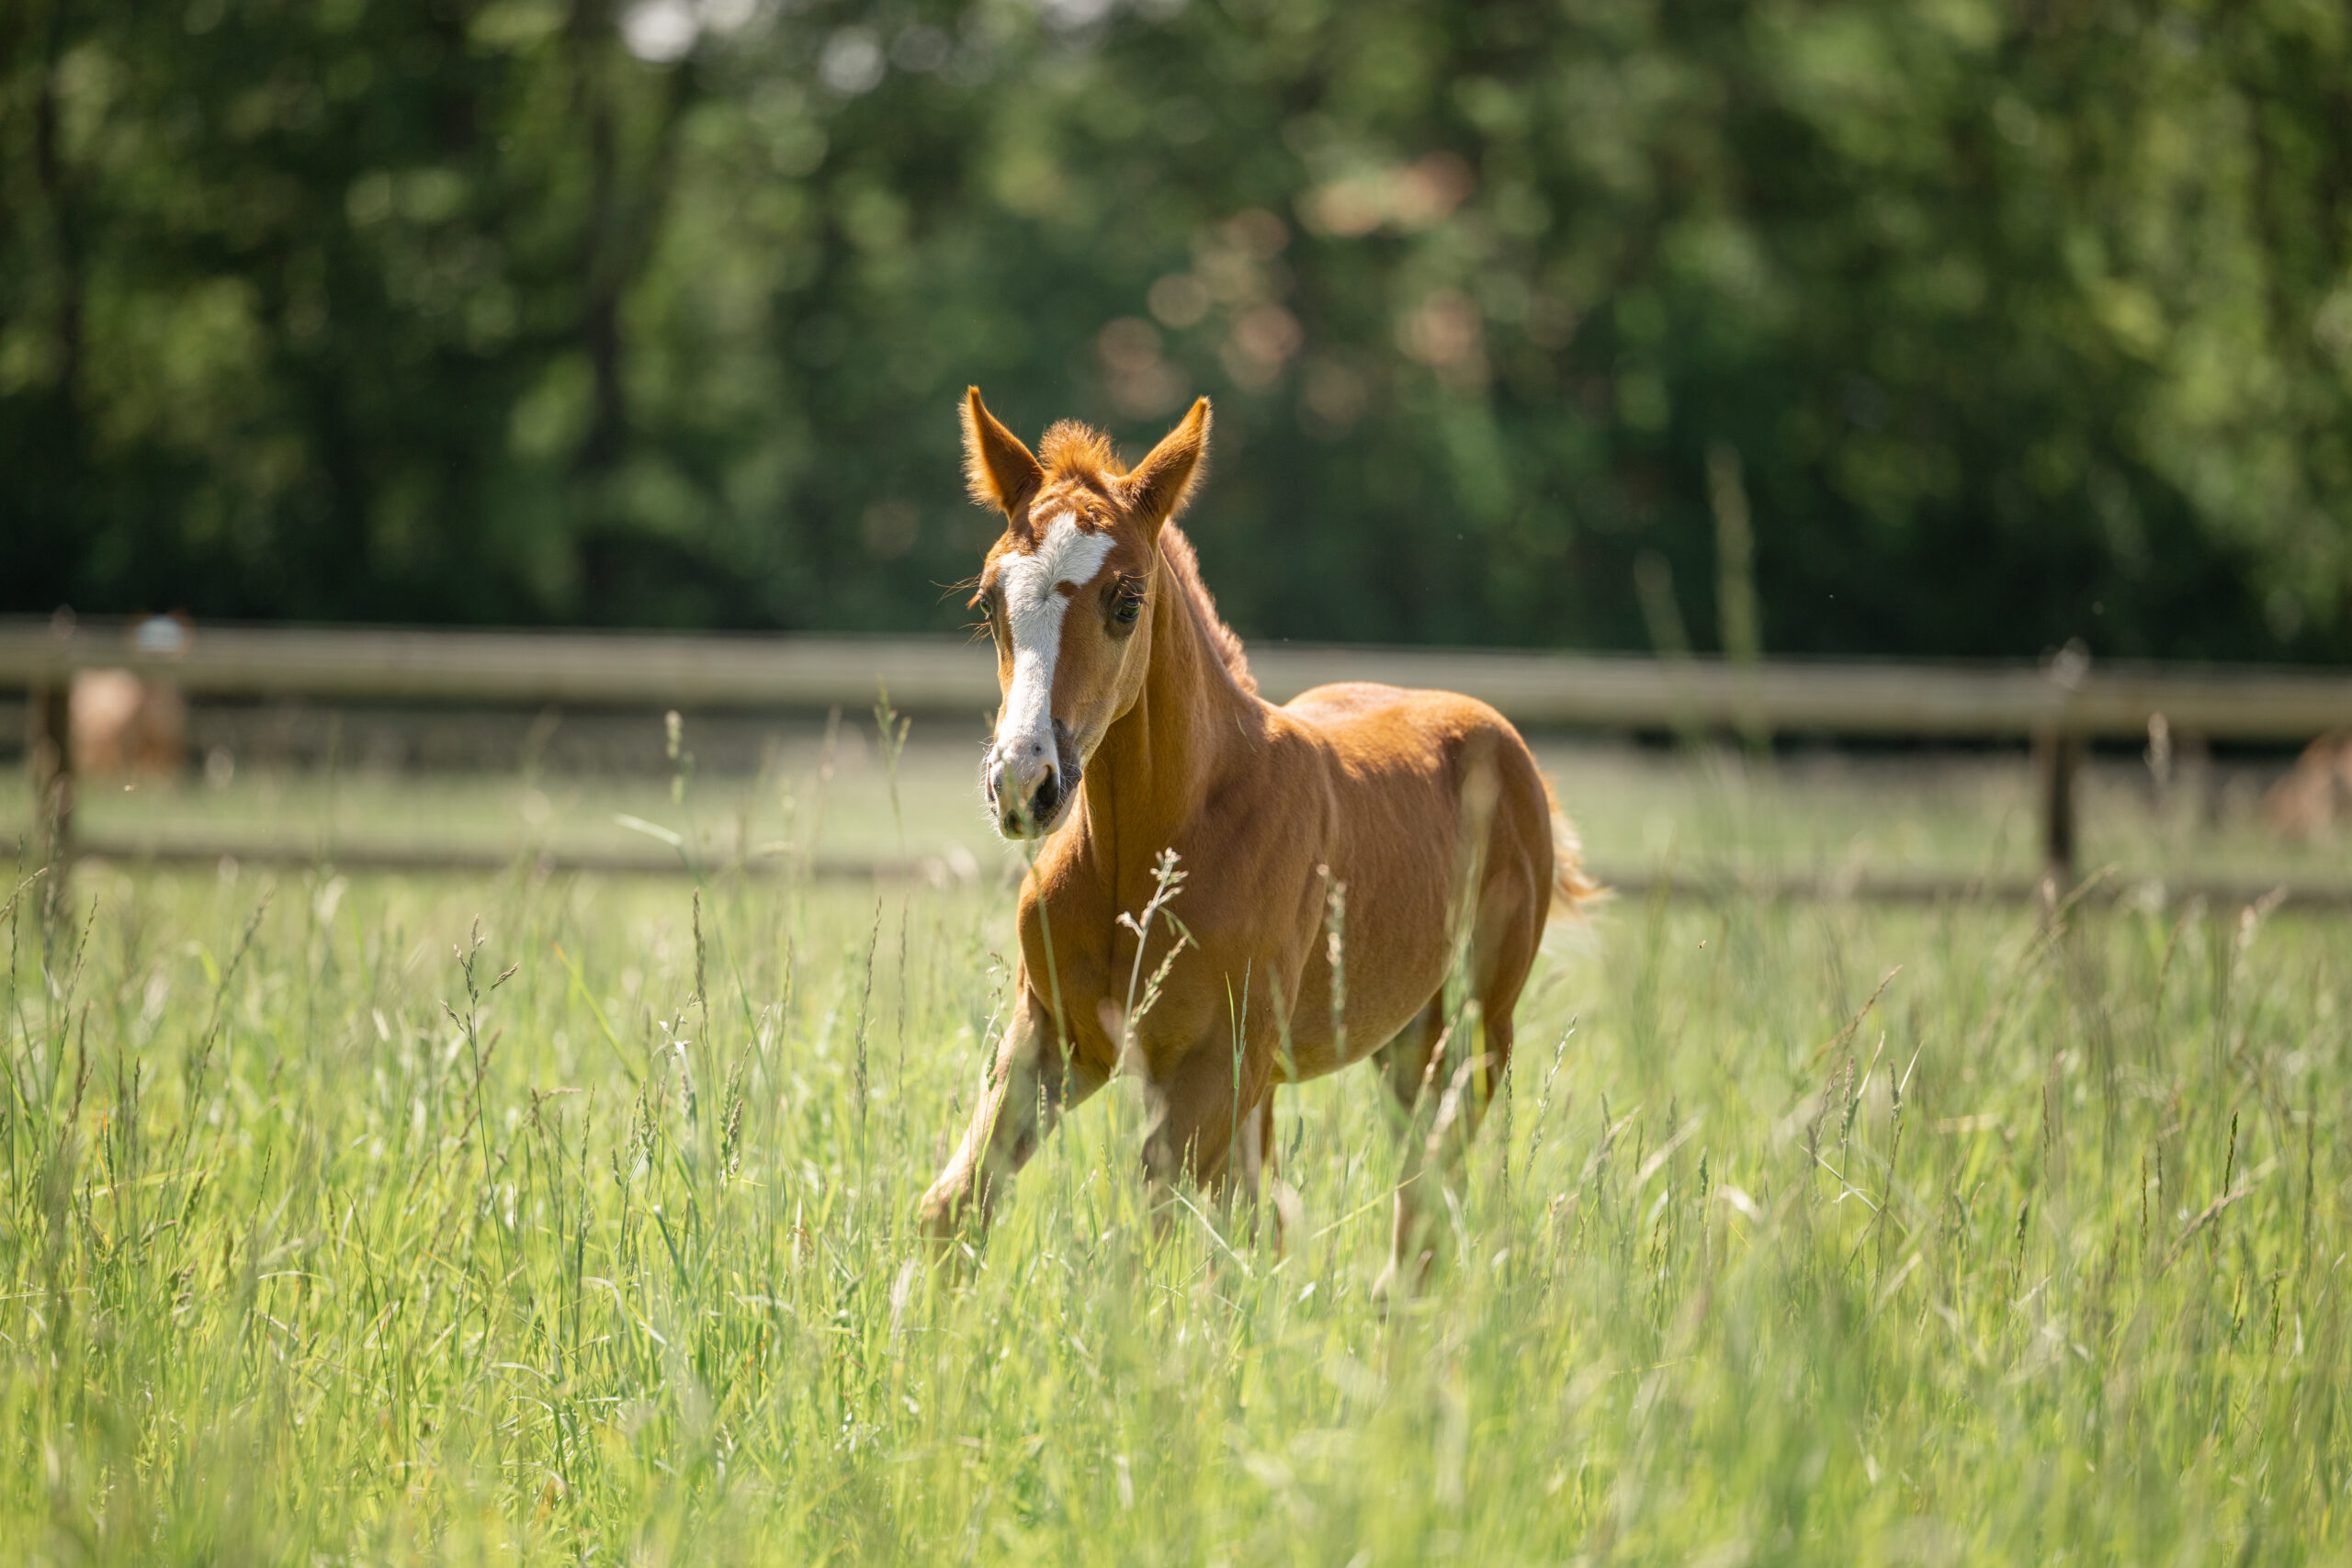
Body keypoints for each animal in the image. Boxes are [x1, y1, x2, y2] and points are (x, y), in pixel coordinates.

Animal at [917, 388, 1601, 1296]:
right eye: (988, 602)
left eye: (1127, 602)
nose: (1025, 783)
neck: (1148, 855)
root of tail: (1502, 739)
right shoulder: (1055, 1033)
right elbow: (953, 1206)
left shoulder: (1209, 1068)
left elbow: (1154, 1250)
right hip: (1367, 1051)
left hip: (1468, 1035)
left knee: (1422, 1209)